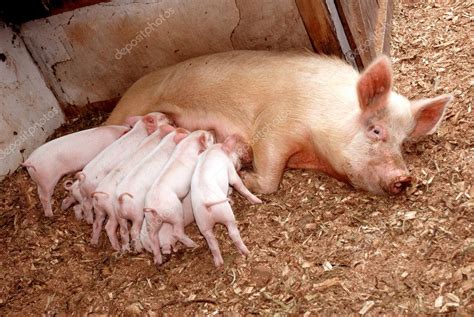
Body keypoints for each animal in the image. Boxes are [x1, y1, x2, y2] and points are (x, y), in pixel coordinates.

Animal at [105, 49, 454, 195]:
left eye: (403, 142)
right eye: (376, 130)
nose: (403, 178)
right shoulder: (274, 126)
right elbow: (270, 176)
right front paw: (246, 176)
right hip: (130, 106)